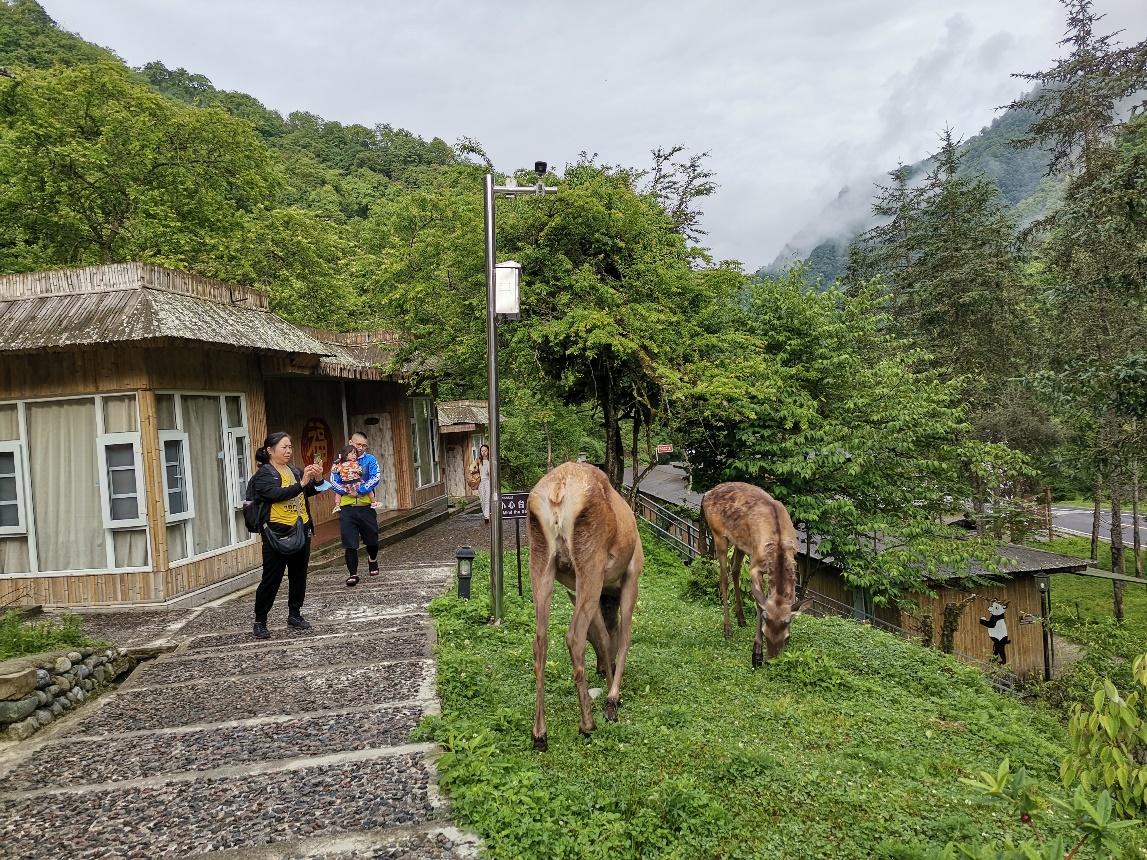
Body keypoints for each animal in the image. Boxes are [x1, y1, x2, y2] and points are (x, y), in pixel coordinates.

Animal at [527, 460, 646, 752]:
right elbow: (623, 635)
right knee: (573, 636)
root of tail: (558, 491)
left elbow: (602, 635)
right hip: (591, 560)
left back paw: (539, 734)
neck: (610, 595)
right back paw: (587, 723)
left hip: (541, 561)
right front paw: (613, 698)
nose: (602, 668)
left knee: (540, 641)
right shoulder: (632, 574)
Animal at [692, 481, 802, 669]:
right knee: (723, 576)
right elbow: (759, 604)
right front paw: (756, 653)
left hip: (740, 544)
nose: (771, 659)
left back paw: (741, 618)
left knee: (735, 569)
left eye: (785, 635)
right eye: (765, 632)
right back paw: (728, 629)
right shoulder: (755, 566)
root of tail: (706, 494)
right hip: (718, 535)